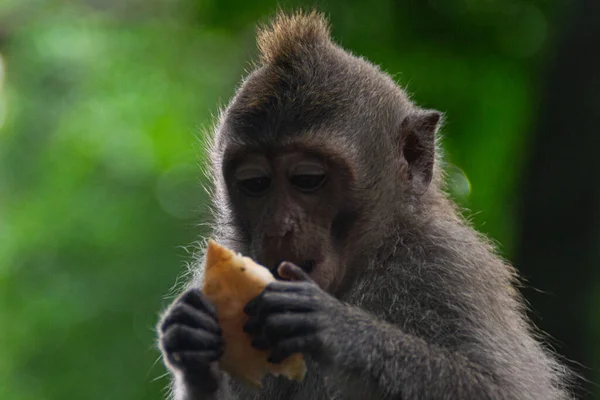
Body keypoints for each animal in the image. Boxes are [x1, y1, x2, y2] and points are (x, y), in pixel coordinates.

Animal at [157, 9, 576, 400]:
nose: (278, 226)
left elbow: (500, 387)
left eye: (307, 179)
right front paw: (191, 342)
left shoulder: (448, 268)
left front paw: (342, 330)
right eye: (255, 184)